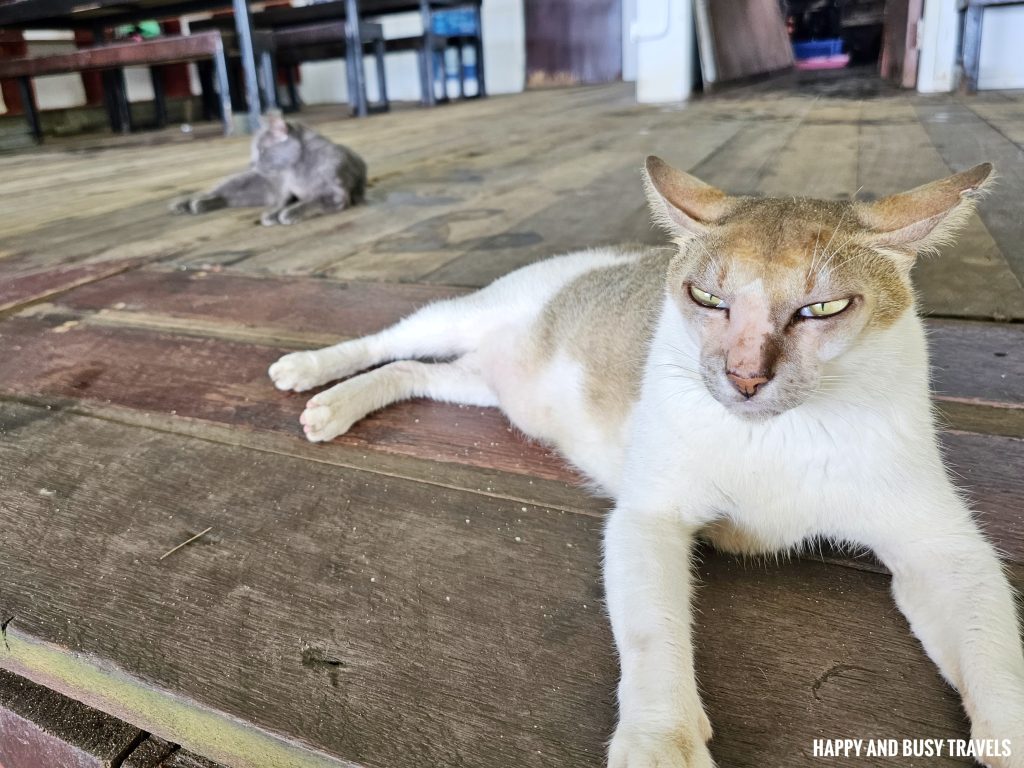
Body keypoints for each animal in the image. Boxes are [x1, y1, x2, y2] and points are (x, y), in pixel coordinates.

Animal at [172, 111, 368, 227]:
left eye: (261, 150)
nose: (251, 163)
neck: (296, 171)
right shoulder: (288, 192)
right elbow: (285, 202)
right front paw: (273, 214)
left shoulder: (335, 195)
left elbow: (310, 202)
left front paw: (288, 214)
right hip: (236, 182)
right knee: (212, 192)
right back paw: (184, 204)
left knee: (224, 199)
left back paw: (198, 206)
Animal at [266, 157, 1024, 768]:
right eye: (708, 299)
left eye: (824, 308)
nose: (745, 376)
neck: (775, 438)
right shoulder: (649, 517)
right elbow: (654, 633)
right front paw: (661, 743)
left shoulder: (942, 548)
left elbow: (996, 663)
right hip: (459, 316)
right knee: (389, 340)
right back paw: (309, 372)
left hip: (479, 386)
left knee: (411, 372)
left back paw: (337, 405)